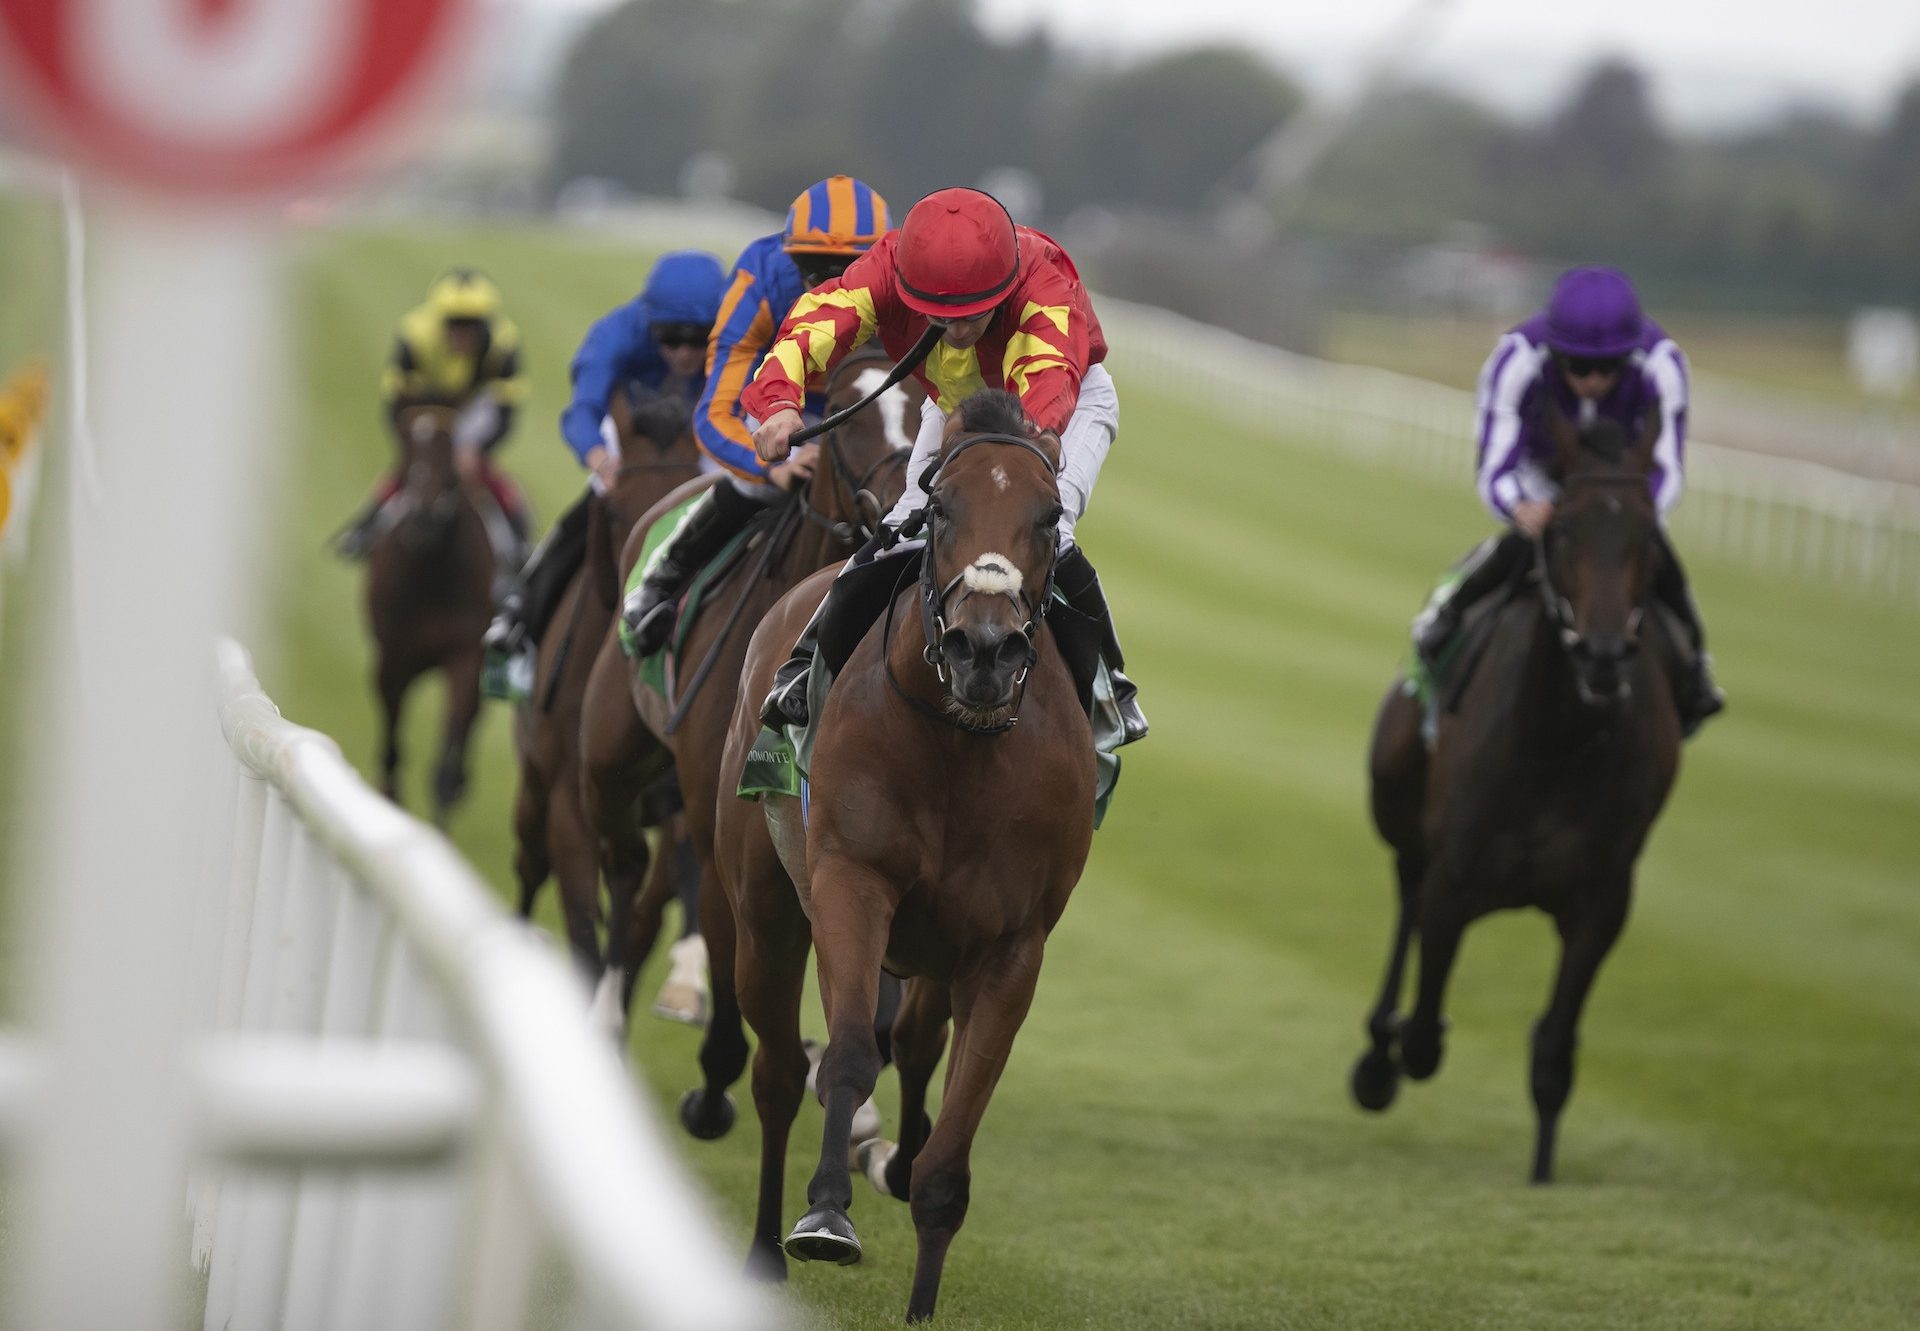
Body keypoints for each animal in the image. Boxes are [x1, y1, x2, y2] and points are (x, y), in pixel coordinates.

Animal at [362, 401, 491, 822]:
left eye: (450, 447)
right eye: (405, 443)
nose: (423, 514)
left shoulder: (466, 654)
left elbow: (444, 765)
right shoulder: (394, 659)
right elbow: (390, 750)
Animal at [506, 391, 702, 975]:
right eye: (614, 509)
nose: (646, 604)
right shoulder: (570, 800)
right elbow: (582, 923)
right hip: (534, 784)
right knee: (530, 864)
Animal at [576, 349, 921, 1037]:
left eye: (924, 413)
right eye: (848, 420)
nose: (903, 505)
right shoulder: (717, 820)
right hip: (610, 749)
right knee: (626, 862)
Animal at [718, 386, 1098, 1321]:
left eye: (1048, 517)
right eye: (941, 507)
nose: (985, 648)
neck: (961, 747)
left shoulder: (1011, 947)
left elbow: (953, 1146)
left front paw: (923, 1297)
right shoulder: (852, 882)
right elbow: (850, 1052)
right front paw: (824, 1215)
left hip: (937, 950)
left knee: (920, 1041)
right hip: (767, 909)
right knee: (779, 1070)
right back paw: (770, 1243)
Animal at [1351, 407, 1681, 1183]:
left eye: (1647, 540)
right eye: (1561, 531)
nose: (1601, 655)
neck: (1557, 743)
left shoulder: (1602, 902)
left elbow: (1554, 1052)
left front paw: (1542, 1173)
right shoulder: (1455, 877)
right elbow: (1424, 1035)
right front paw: (1396, 1048)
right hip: (1398, 800)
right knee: (1406, 890)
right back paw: (1376, 1057)